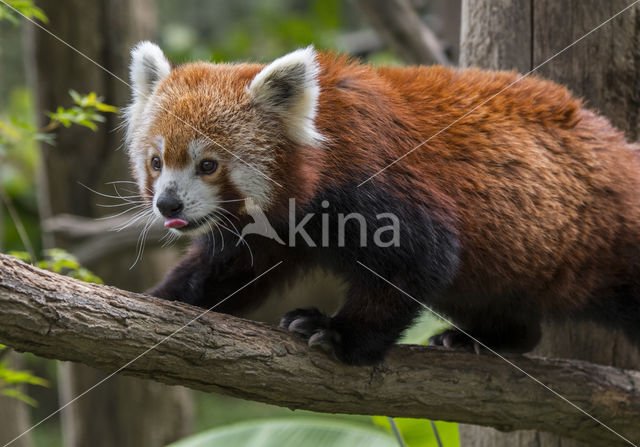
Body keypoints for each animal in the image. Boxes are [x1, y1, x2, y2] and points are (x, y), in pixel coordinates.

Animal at [126, 41, 640, 364]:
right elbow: (230, 266)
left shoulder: (375, 180)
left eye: (208, 165)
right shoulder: (271, 226)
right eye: (156, 162)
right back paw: (483, 337)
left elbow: (421, 259)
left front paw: (339, 335)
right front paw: (161, 298)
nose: (168, 205)